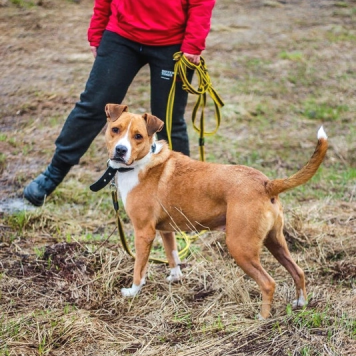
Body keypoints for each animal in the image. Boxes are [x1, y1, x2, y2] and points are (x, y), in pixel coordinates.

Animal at [101, 103, 326, 320]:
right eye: (115, 129)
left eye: (138, 136)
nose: (120, 150)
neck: (143, 162)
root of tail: (266, 184)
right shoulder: (166, 230)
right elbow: (172, 255)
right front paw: (175, 277)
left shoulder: (143, 232)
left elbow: (139, 268)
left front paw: (132, 292)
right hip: (275, 241)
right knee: (298, 271)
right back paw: (301, 303)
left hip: (239, 247)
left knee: (268, 283)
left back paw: (261, 318)